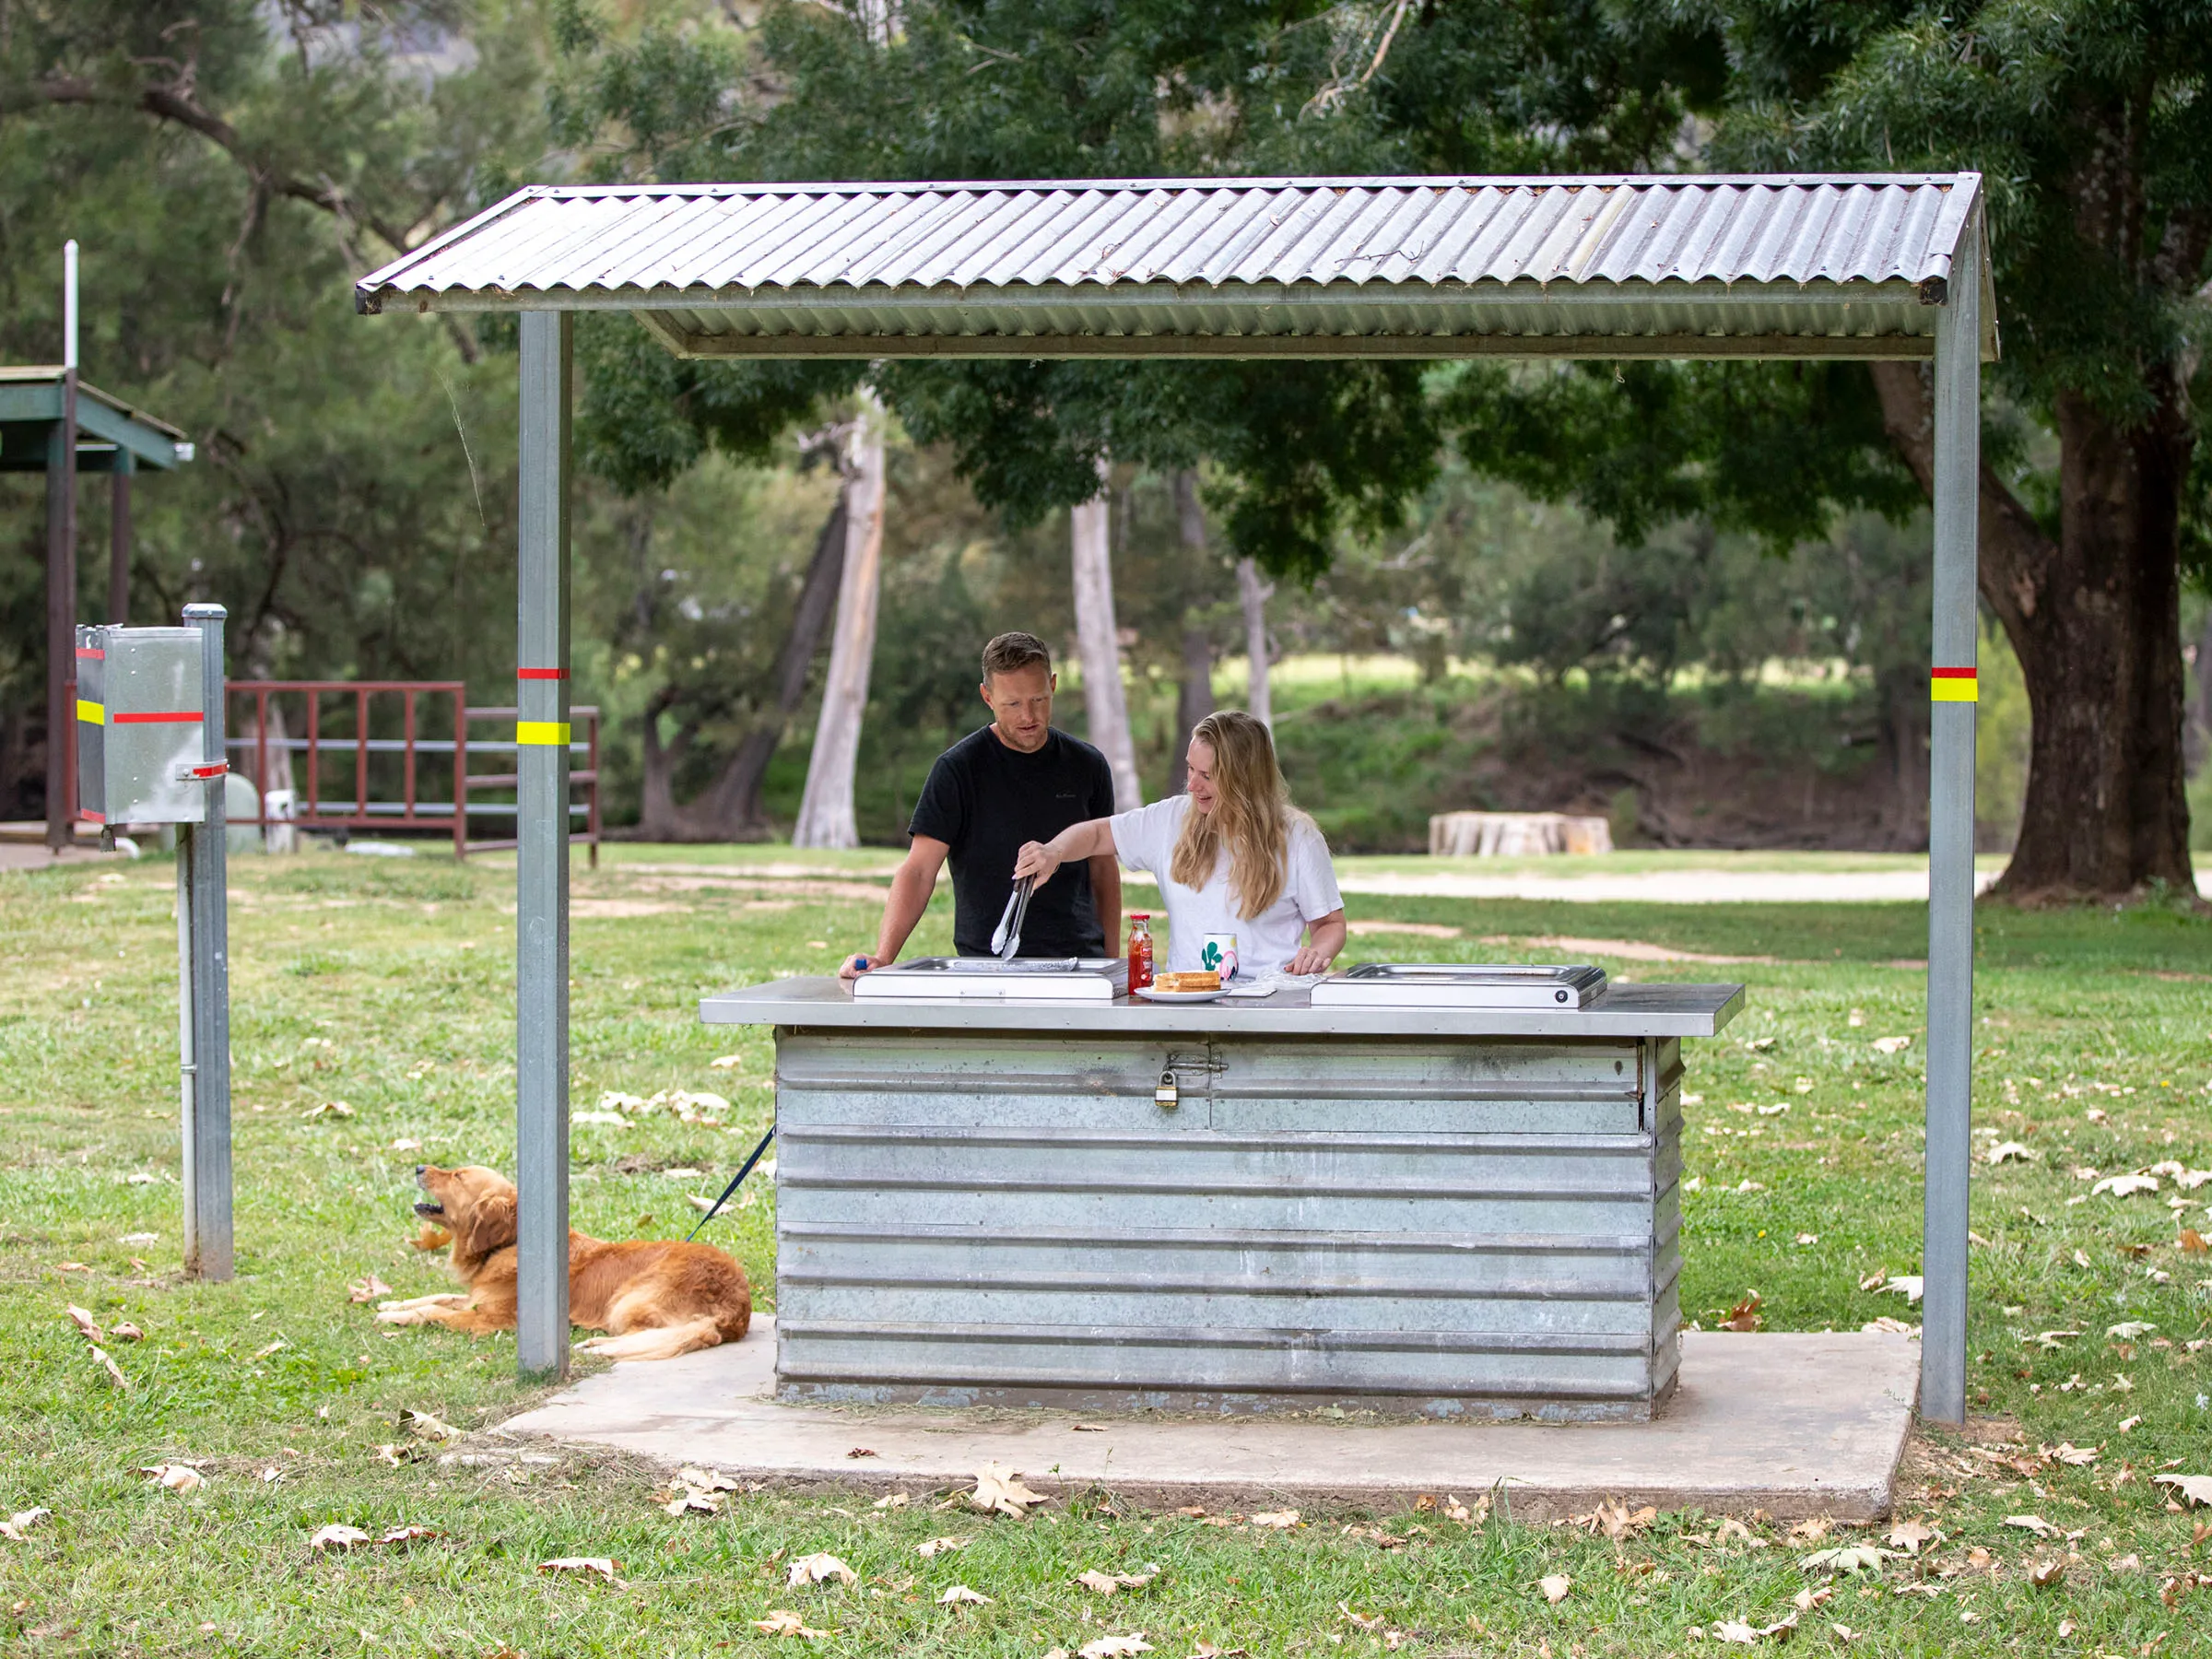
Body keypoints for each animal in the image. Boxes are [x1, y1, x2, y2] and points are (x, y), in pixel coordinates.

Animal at [376, 1168, 756, 1362]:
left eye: (457, 1176)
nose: (419, 1168)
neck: (511, 1242)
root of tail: (737, 1306)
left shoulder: (492, 1318)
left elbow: (436, 1312)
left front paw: (397, 1317)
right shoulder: (476, 1298)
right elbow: (436, 1298)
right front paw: (391, 1304)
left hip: (628, 1300)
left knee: (654, 1333)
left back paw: (597, 1345)